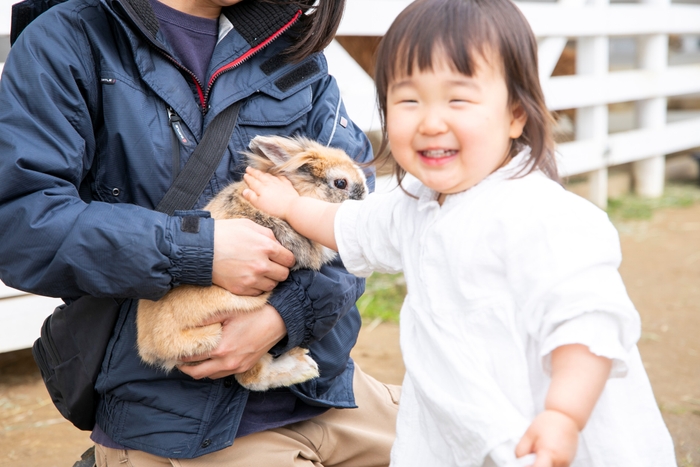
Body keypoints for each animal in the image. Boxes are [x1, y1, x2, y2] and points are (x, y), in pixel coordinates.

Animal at [134, 135, 370, 392]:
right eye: (340, 183)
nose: (365, 200)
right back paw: (303, 368)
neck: (299, 193)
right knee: (251, 377)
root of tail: (152, 348)